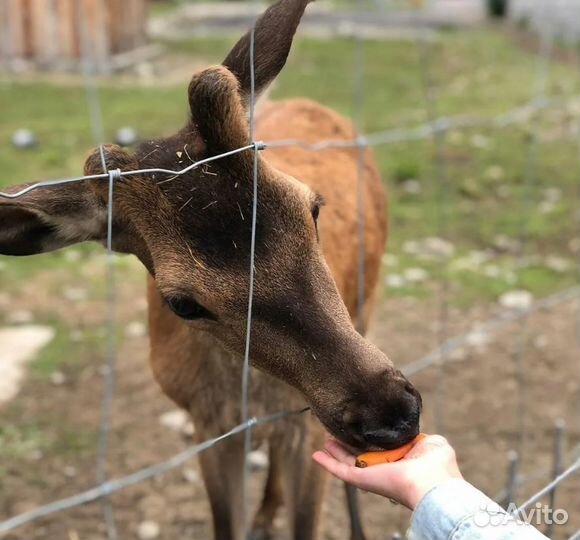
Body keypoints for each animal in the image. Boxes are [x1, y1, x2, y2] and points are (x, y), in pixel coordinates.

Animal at [1, 1, 422, 540]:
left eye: (312, 208)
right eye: (182, 302)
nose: (389, 414)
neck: (249, 396)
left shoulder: (306, 423)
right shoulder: (208, 426)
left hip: (368, 304)